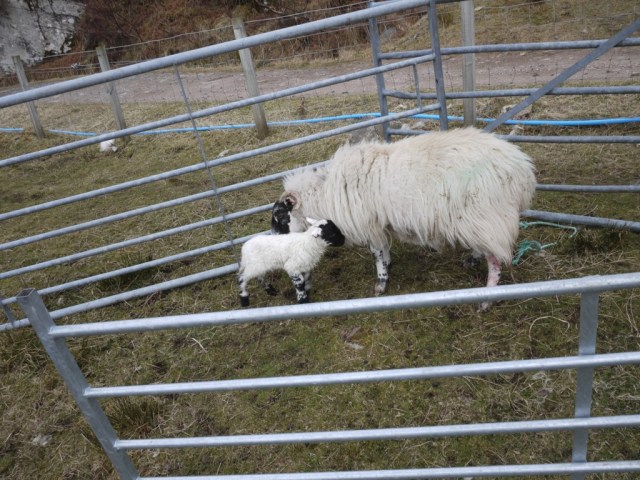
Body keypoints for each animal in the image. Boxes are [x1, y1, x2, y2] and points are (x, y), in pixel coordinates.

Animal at [271, 127, 537, 310]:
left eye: (279, 217)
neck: (324, 194)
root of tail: (522, 169)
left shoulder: (369, 223)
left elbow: (376, 252)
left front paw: (381, 283)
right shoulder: (379, 223)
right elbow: (383, 249)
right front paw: (388, 266)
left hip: (485, 216)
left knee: (495, 260)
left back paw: (487, 299)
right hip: (480, 221)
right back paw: (473, 258)